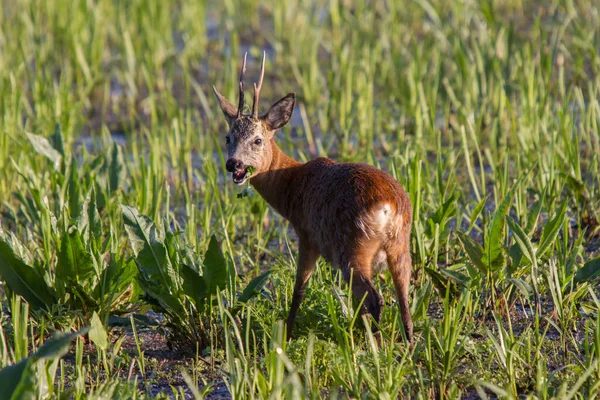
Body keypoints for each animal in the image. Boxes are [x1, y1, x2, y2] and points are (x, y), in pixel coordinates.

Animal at [213, 52, 414, 344]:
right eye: (228, 137)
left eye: (258, 140)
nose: (233, 164)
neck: (293, 185)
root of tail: (390, 206)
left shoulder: (307, 234)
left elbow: (299, 290)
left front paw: (286, 335)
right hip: (400, 245)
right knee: (403, 298)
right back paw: (407, 345)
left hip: (352, 246)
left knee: (373, 298)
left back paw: (373, 344)